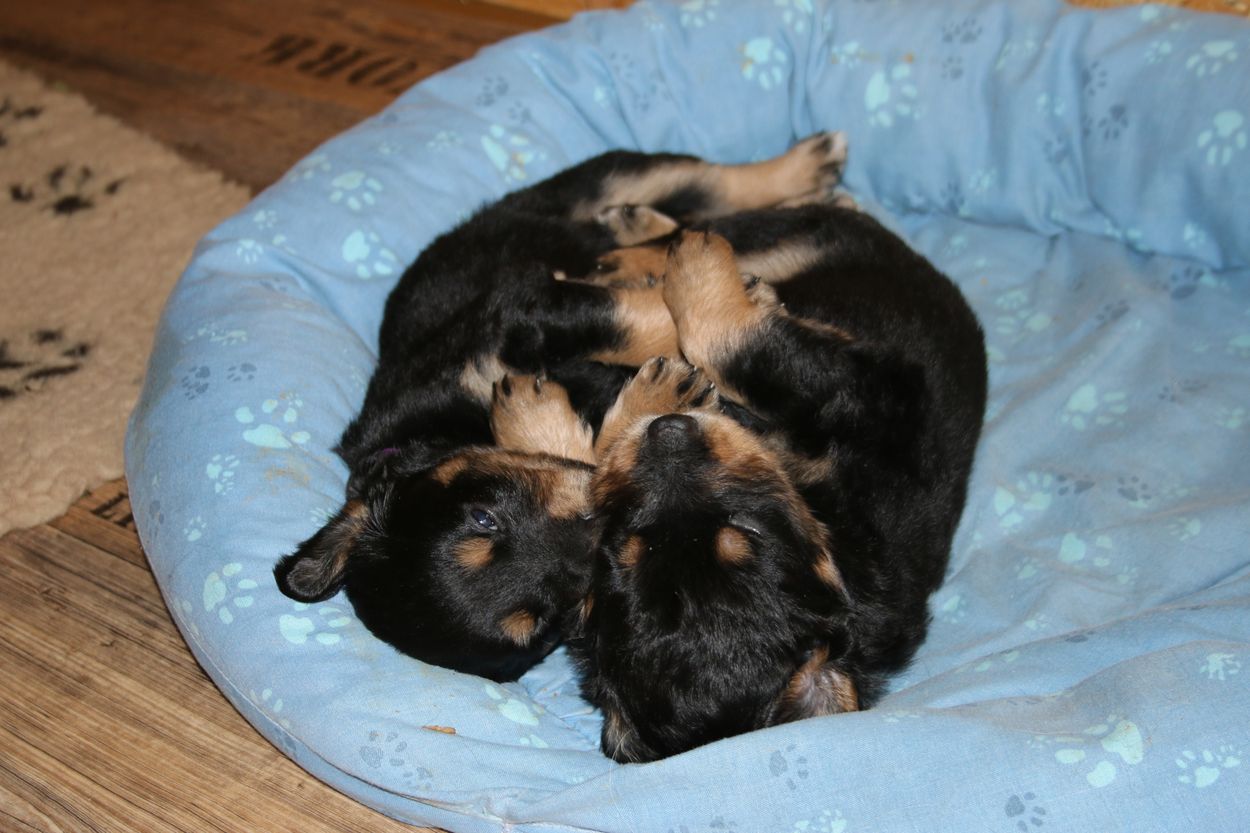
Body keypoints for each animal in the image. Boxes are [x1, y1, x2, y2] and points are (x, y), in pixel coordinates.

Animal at [272, 134, 850, 682]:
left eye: (484, 519)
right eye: (548, 616)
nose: (603, 526)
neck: (442, 430)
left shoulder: (520, 312)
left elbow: (626, 319)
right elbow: (602, 442)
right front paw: (648, 397)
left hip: (605, 182)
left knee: (709, 188)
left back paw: (805, 173)